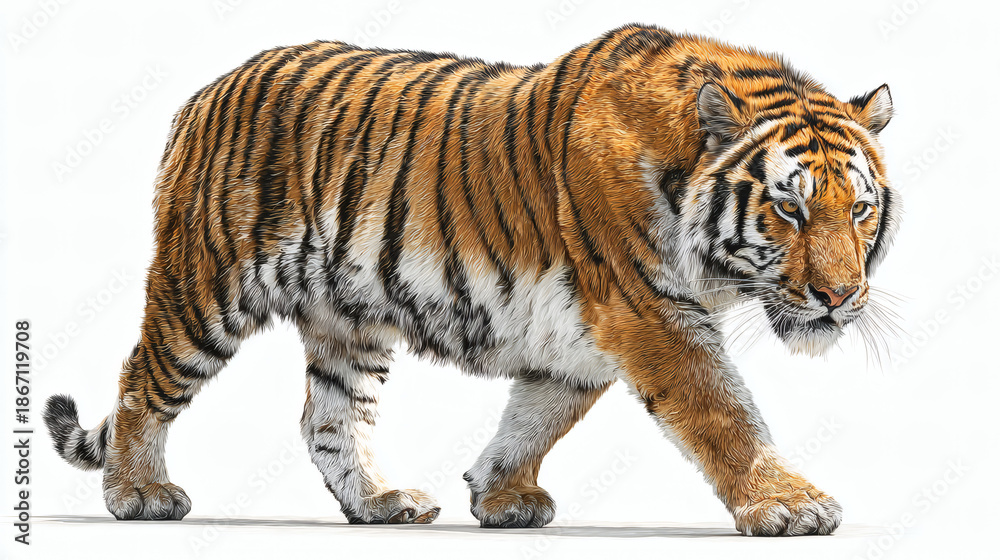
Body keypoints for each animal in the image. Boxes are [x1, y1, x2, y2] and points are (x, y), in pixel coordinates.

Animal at [43, 23, 899, 536]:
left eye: (858, 210)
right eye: (788, 209)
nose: (839, 296)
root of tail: (206, 89)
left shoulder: (584, 332)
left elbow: (537, 415)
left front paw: (498, 494)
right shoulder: (648, 311)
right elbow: (723, 411)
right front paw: (790, 505)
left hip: (348, 317)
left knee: (327, 418)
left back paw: (381, 503)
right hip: (205, 289)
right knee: (141, 381)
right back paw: (138, 494)